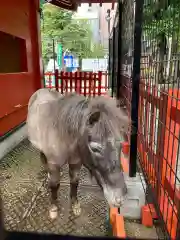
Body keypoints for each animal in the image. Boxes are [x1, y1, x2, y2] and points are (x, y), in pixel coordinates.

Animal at [26, 88, 130, 219]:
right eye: (95, 148)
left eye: (120, 144)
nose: (119, 198)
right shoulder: (54, 164)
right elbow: (54, 184)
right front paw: (53, 208)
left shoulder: (76, 163)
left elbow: (75, 182)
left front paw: (75, 205)